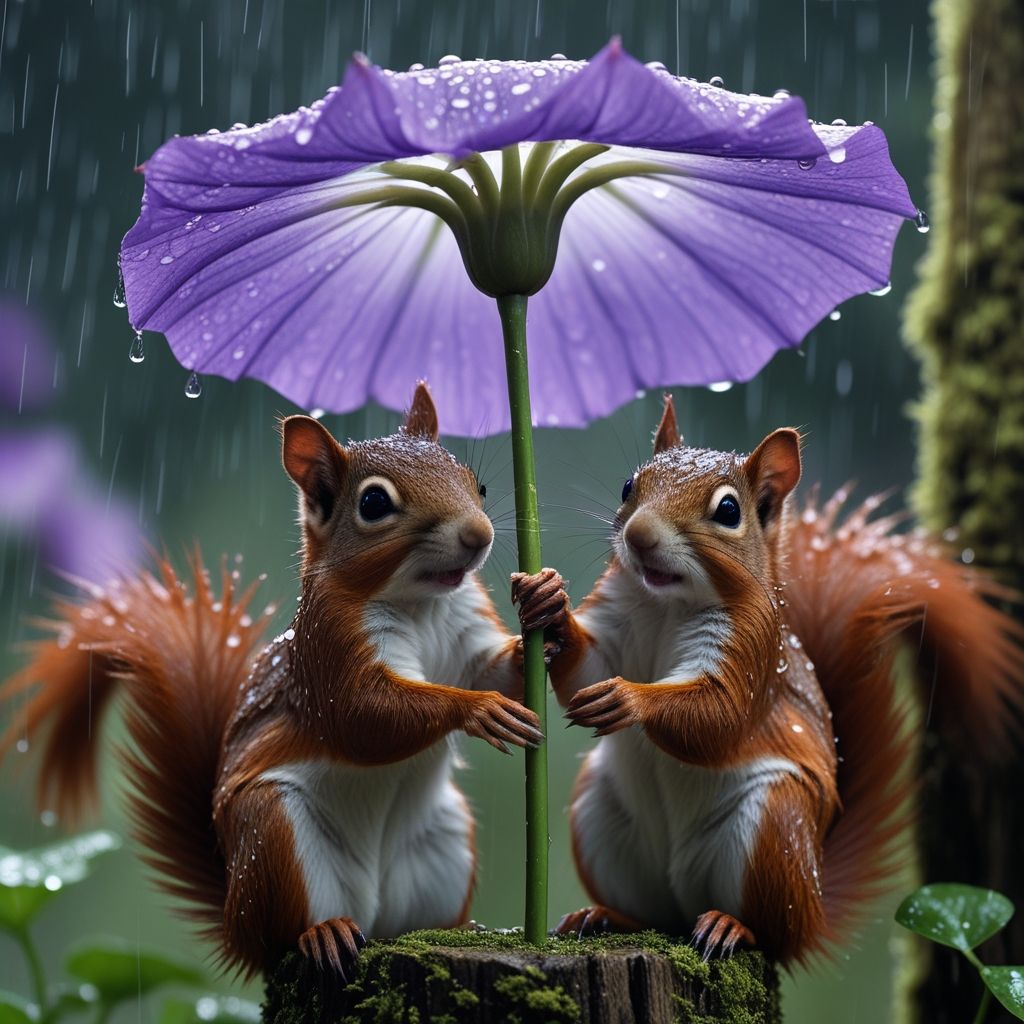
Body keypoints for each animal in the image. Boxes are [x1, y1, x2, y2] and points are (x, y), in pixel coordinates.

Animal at [0, 382, 556, 979]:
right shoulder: (327, 651)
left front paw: (546, 603)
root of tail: (235, 926)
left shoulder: (466, 630)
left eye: (476, 483)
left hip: (442, 845)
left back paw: (461, 929)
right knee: (285, 930)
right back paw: (323, 932)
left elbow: (496, 669)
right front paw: (479, 708)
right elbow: (363, 716)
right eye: (374, 504)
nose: (478, 534)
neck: (421, 602)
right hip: (273, 837)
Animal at [515, 394, 1024, 965]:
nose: (638, 535)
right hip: (601, 815)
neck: (666, 604)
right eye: (629, 485)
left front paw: (629, 699)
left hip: (773, 830)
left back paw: (730, 927)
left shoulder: (753, 648)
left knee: (774, 936)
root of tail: (814, 903)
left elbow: (719, 717)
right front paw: (548, 607)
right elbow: (589, 668)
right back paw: (603, 916)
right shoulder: (616, 619)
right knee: (653, 914)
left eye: (728, 511)